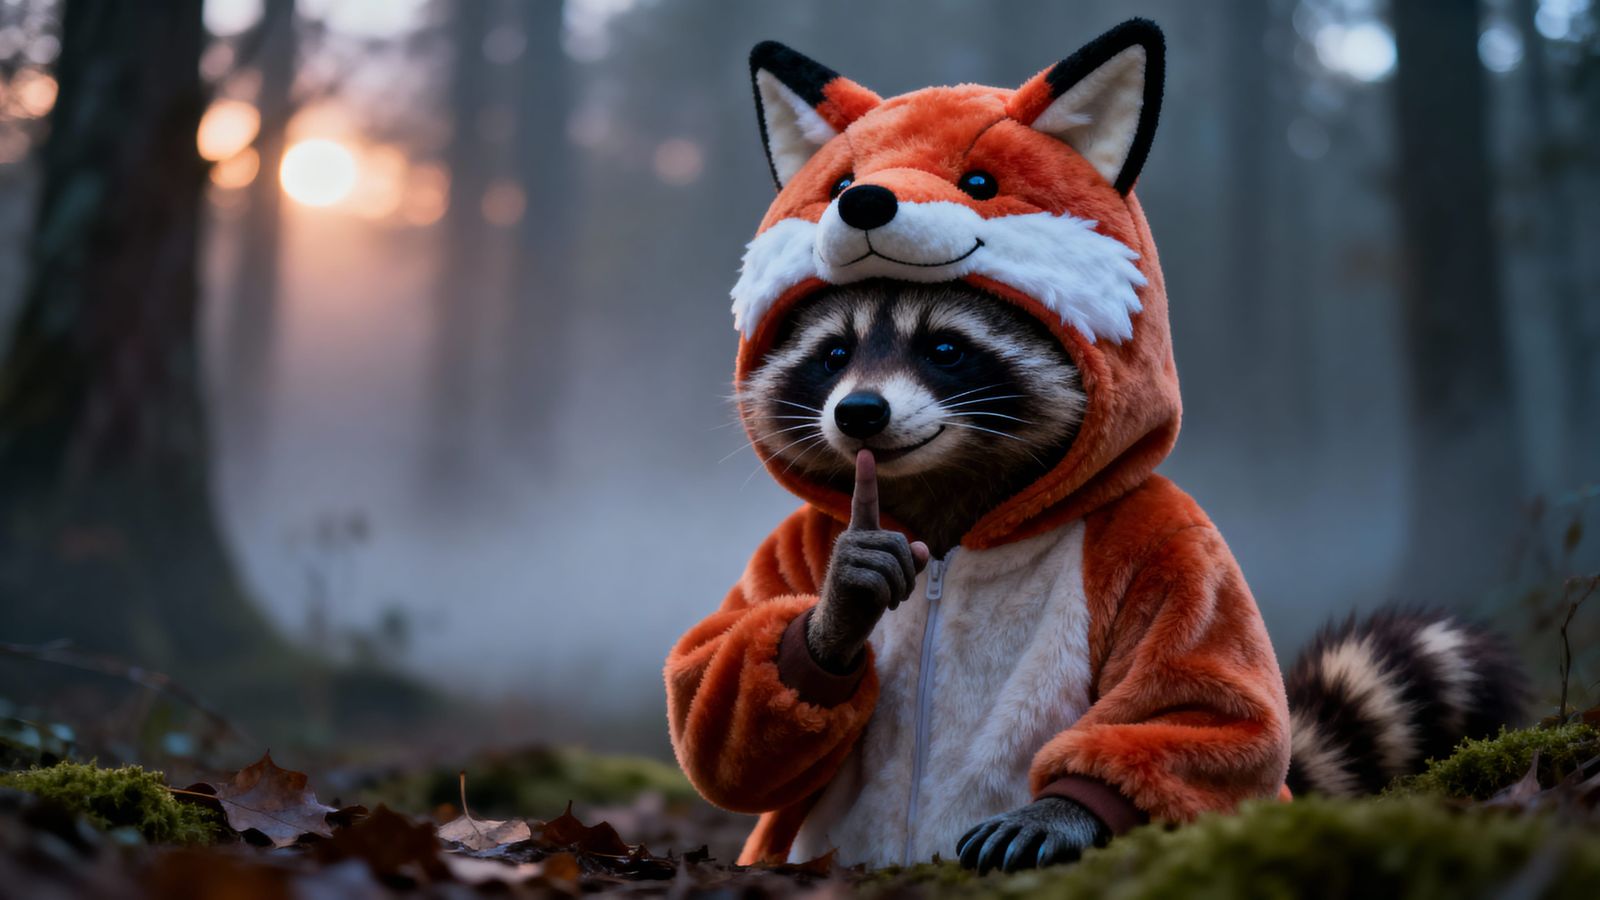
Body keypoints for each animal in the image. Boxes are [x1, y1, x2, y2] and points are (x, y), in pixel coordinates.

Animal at [665, 19, 1523, 874]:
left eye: (944, 350)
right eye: (835, 354)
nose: (860, 415)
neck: (951, 502)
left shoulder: (1173, 537)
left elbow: (1195, 701)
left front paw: (1068, 806)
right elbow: (717, 699)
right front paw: (839, 608)